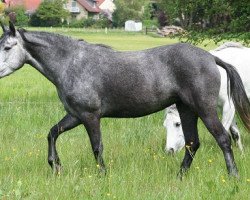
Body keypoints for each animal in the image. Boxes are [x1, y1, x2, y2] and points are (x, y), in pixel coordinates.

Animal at [0, 22, 250, 178]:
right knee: (192, 143)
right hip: (186, 109)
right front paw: (56, 166)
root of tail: (211, 58)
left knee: (223, 139)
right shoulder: (75, 115)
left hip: (204, 109)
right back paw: (180, 176)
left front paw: (102, 175)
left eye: (7, 47)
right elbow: (52, 133)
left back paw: (233, 176)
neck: (72, 63)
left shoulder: (90, 116)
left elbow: (97, 147)